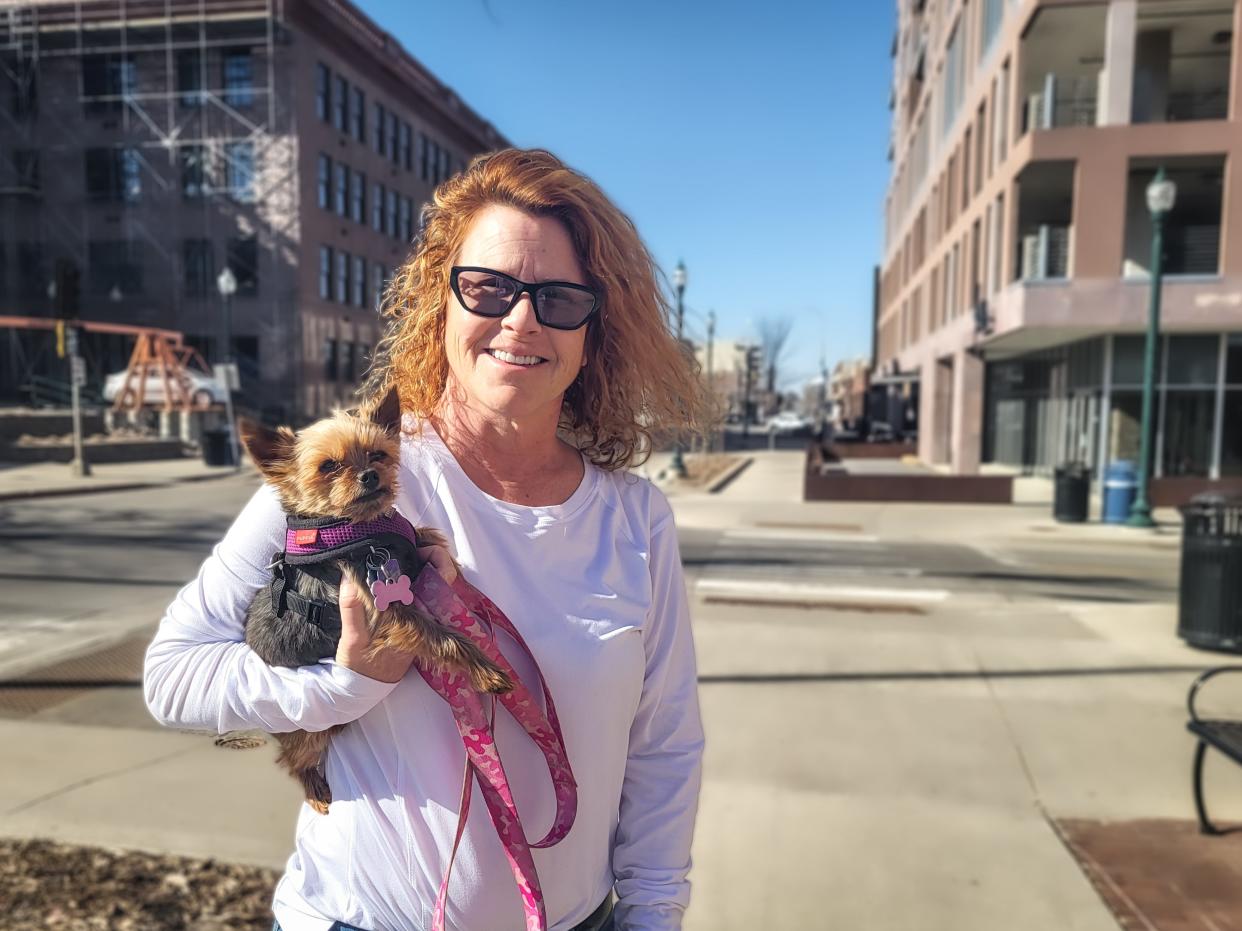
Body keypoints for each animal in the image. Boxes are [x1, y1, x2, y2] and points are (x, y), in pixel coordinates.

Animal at [237, 384, 509, 809]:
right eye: (328, 466)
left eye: (378, 453)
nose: (370, 475)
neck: (356, 529)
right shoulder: (385, 610)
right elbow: (442, 638)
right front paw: (486, 670)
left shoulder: (414, 546)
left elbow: (434, 544)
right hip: (310, 728)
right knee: (294, 757)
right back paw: (314, 787)